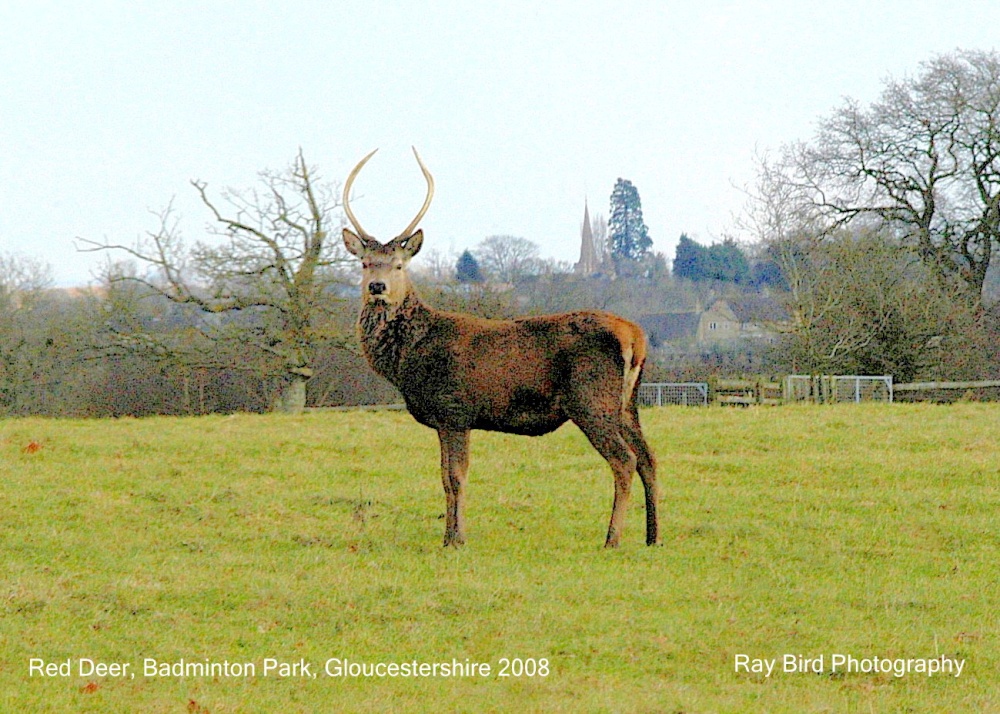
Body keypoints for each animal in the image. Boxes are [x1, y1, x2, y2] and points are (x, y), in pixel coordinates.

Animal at [341, 148, 659, 548]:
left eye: (399, 265)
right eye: (365, 263)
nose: (377, 287)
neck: (407, 360)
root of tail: (635, 335)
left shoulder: (454, 410)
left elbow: (455, 477)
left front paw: (456, 540)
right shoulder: (447, 419)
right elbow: (444, 477)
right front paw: (448, 537)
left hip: (591, 400)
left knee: (624, 460)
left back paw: (612, 539)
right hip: (627, 404)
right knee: (649, 458)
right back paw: (652, 537)